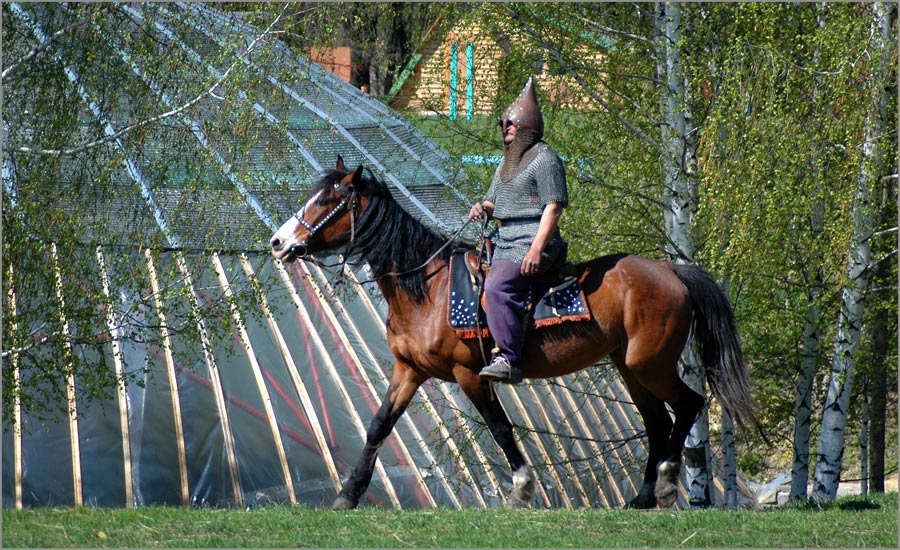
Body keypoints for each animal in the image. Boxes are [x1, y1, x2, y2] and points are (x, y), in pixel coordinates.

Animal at [268, 157, 760, 512]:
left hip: (650, 365)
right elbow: (378, 426)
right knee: (657, 420)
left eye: (327, 200)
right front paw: (348, 494)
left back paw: (665, 485)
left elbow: (501, 428)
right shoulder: (409, 371)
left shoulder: (471, 374)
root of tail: (671, 271)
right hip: (630, 367)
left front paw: (521, 488)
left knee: (688, 405)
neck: (427, 288)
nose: (277, 243)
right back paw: (640, 497)